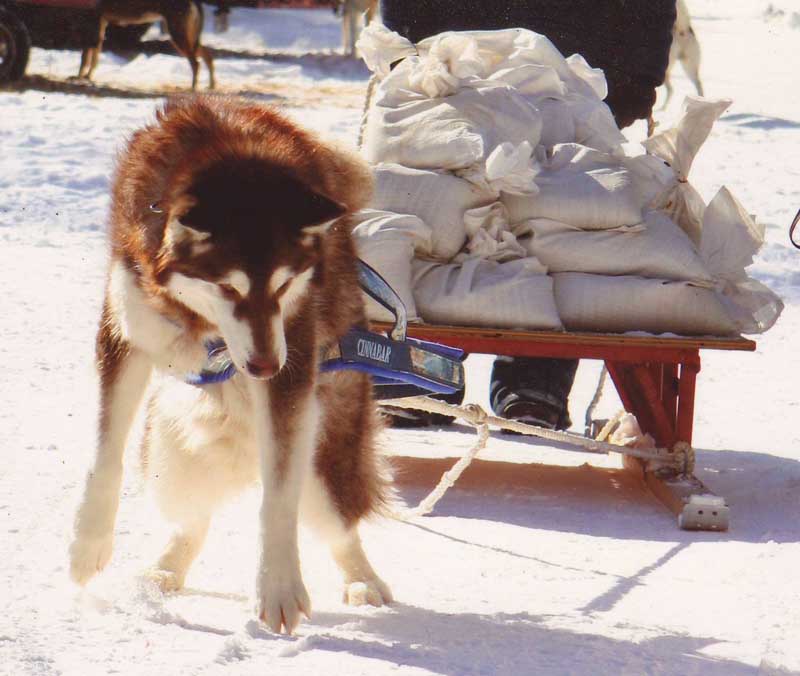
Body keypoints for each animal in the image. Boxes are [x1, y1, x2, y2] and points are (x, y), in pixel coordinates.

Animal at [67, 96, 392, 632]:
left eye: (284, 286)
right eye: (228, 288)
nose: (263, 366)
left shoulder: (292, 359)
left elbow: (277, 500)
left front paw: (278, 585)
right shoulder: (125, 329)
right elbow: (105, 454)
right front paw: (88, 541)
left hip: (323, 450)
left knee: (338, 522)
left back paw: (363, 579)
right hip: (171, 452)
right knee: (192, 520)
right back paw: (166, 567)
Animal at [77, 0, 216, 90]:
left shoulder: (92, 20)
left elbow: (85, 57)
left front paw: (80, 77)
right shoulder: (101, 23)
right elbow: (93, 56)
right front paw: (87, 76)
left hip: (178, 35)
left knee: (196, 63)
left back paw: (192, 88)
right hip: (187, 37)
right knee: (207, 56)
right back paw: (211, 85)